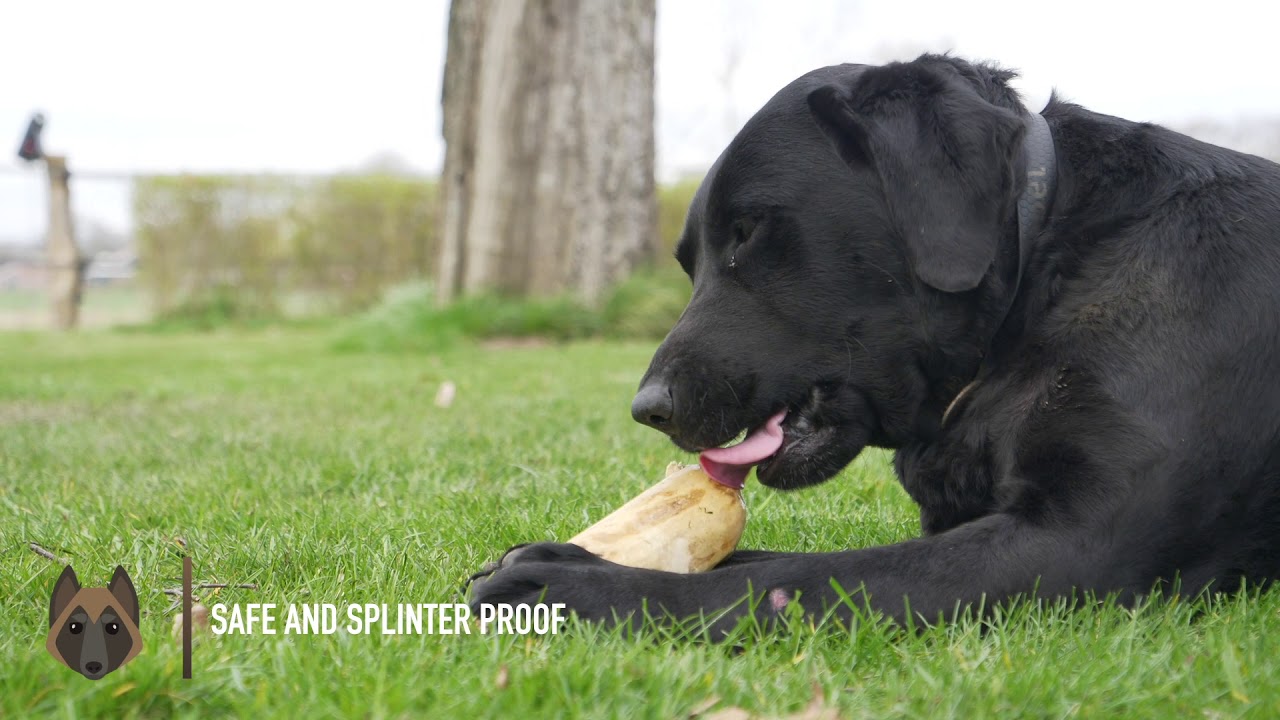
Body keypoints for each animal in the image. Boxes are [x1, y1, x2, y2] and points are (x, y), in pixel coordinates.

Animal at [469, 54, 1280, 634]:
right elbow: (768, 559)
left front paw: (571, 588)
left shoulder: (1079, 543)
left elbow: (786, 580)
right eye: (688, 261)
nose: (649, 408)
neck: (1038, 280)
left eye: (748, 233)